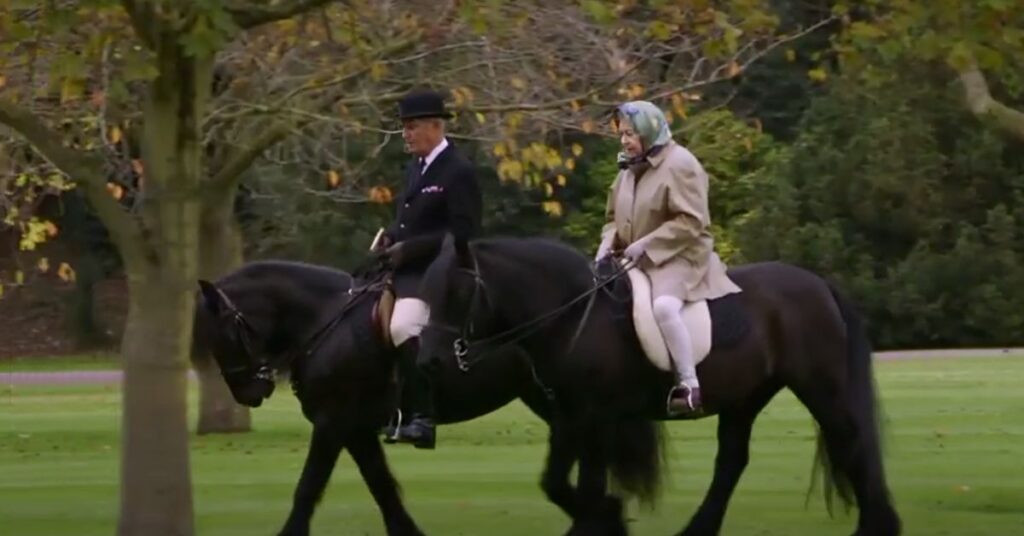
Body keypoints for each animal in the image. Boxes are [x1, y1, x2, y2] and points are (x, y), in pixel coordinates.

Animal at [190, 261, 561, 536]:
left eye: (222, 334)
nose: (247, 394)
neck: (327, 321)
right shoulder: (355, 430)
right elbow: (382, 487)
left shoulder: (332, 423)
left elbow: (308, 487)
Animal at [411, 236, 901, 532]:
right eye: (427, 290)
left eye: (457, 292)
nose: (429, 360)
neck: (574, 316)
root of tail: (819, 284)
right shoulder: (569, 419)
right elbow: (555, 484)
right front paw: (607, 520)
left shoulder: (596, 419)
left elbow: (587, 487)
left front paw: (604, 521)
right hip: (745, 398)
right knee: (732, 462)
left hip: (821, 388)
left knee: (852, 443)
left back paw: (877, 525)